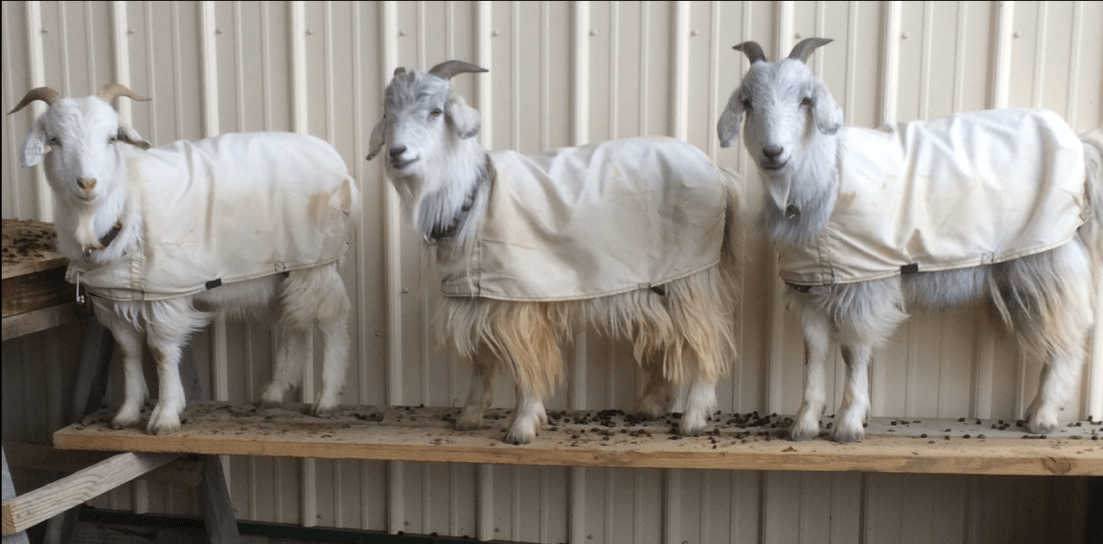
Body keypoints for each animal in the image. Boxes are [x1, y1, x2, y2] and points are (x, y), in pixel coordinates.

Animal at [11, 84, 360, 435]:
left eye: (111, 138)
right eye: (54, 139)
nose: (87, 184)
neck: (126, 201)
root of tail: (333, 159)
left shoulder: (165, 295)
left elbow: (161, 353)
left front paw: (165, 416)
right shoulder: (113, 297)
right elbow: (128, 352)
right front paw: (126, 413)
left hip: (315, 262)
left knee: (332, 320)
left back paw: (327, 399)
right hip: (284, 269)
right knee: (294, 322)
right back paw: (274, 392)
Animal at [367, 61, 742, 444]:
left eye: (436, 111)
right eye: (387, 113)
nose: (397, 152)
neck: (474, 195)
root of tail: (717, 172)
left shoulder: (520, 296)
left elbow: (528, 362)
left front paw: (522, 425)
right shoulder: (480, 295)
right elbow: (482, 361)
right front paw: (470, 416)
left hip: (692, 274)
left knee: (705, 337)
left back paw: (694, 417)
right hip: (659, 279)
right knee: (670, 335)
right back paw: (652, 403)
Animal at [718, 38, 1102, 442]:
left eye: (806, 100)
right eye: (747, 102)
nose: (773, 152)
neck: (826, 179)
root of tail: (1080, 145)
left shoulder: (866, 281)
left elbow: (853, 352)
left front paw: (848, 423)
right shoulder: (809, 285)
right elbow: (815, 352)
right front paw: (805, 423)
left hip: (1049, 257)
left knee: (1068, 335)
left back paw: (1044, 416)